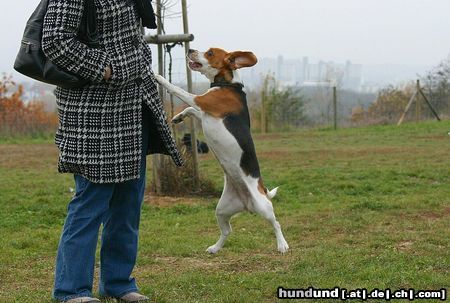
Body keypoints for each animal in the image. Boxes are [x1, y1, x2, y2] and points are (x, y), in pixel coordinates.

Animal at [154, 48, 288, 255]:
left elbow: (178, 90)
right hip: (222, 209)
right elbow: (191, 109)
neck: (228, 84)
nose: (190, 50)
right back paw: (215, 248)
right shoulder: (204, 112)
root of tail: (248, 203)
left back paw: (282, 245)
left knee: (276, 223)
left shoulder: (202, 100)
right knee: (227, 231)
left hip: (263, 206)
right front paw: (179, 117)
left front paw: (158, 77)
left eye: (210, 53)